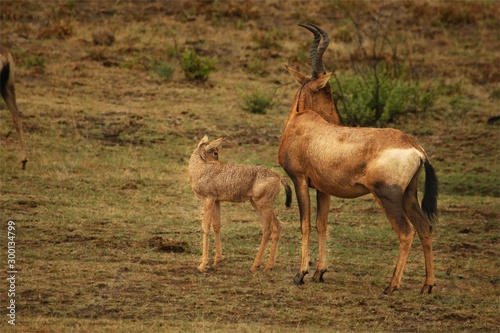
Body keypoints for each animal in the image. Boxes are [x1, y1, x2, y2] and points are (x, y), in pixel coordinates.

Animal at [188, 135, 292, 272]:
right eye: (215, 152)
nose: (219, 161)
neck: (202, 167)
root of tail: (278, 177)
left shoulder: (208, 200)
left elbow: (206, 227)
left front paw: (202, 265)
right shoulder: (216, 201)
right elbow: (216, 226)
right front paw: (216, 262)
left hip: (263, 205)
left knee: (272, 227)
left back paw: (262, 265)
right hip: (256, 204)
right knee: (272, 227)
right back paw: (260, 265)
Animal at [280, 24, 440, 294]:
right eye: (328, 90)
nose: (338, 120)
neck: (301, 121)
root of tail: (415, 147)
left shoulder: (299, 180)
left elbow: (304, 224)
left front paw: (300, 274)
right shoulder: (322, 188)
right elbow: (321, 223)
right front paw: (319, 272)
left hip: (387, 195)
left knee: (406, 232)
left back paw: (391, 286)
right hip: (408, 194)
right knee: (424, 228)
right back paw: (427, 286)